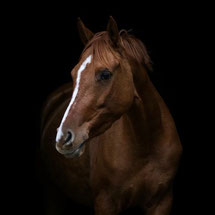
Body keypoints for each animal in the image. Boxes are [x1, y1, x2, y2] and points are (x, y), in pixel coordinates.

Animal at [40, 15, 181, 214]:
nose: (63, 137)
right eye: (74, 74)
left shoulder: (162, 202)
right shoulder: (105, 202)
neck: (146, 144)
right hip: (52, 193)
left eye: (105, 74)